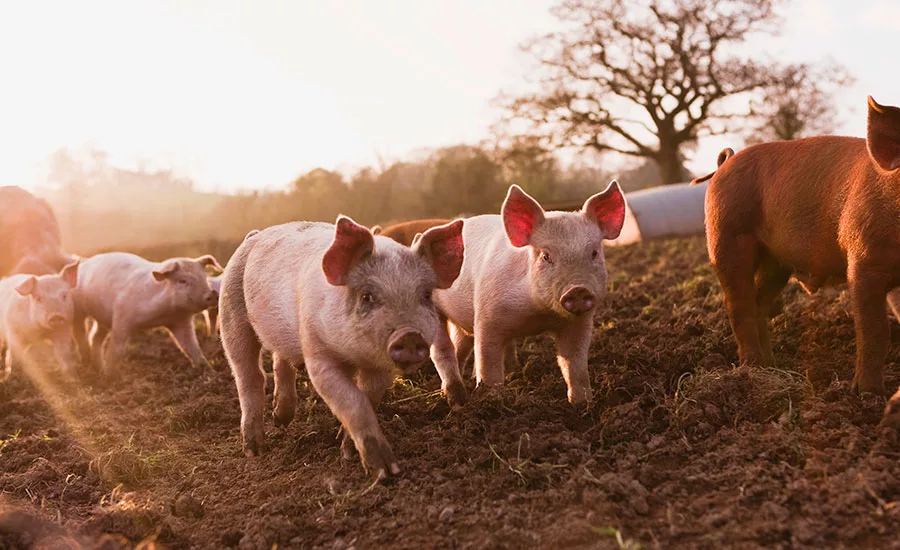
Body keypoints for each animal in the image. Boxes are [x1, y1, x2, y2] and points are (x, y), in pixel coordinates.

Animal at [72, 252, 222, 375]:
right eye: (182, 281)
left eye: (204, 278)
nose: (212, 294)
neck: (164, 314)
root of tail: (85, 261)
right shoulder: (122, 316)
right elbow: (117, 348)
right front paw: (110, 376)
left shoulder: (181, 322)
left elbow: (192, 348)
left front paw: (211, 373)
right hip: (77, 309)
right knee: (79, 332)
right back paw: (88, 361)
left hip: (102, 319)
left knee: (95, 337)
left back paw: (99, 367)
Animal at [220, 216, 465, 478]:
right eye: (367, 296)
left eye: (427, 295)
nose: (409, 335)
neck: (354, 356)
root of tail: (254, 235)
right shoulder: (318, 354)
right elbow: (353, 401)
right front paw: (385, 472)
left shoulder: (380, 368)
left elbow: (368, 399)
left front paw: (347, 451)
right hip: (231, 314)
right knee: (249, 376)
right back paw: (254, 450)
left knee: (280, 362)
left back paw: (281, 420)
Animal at [430, 182, 626, 404]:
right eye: (546, 256)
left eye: (594, 253)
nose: (578, 289)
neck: (539, 315)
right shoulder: (487, 317)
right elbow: (489, 364)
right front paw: (492, 399)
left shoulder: (580, 323)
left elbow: (575, 364)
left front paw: (582, 404)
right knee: (443, 351)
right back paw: (454, 397)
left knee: (460, 346)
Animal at [697, 96, 900, 410]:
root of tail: (725, 163)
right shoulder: (863, 263)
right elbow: (875, 331)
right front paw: (869, 397)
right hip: (726, 238)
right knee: (737, 303)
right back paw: (753, 369)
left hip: (776, 262)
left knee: (759, 303)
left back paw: (772, 364)